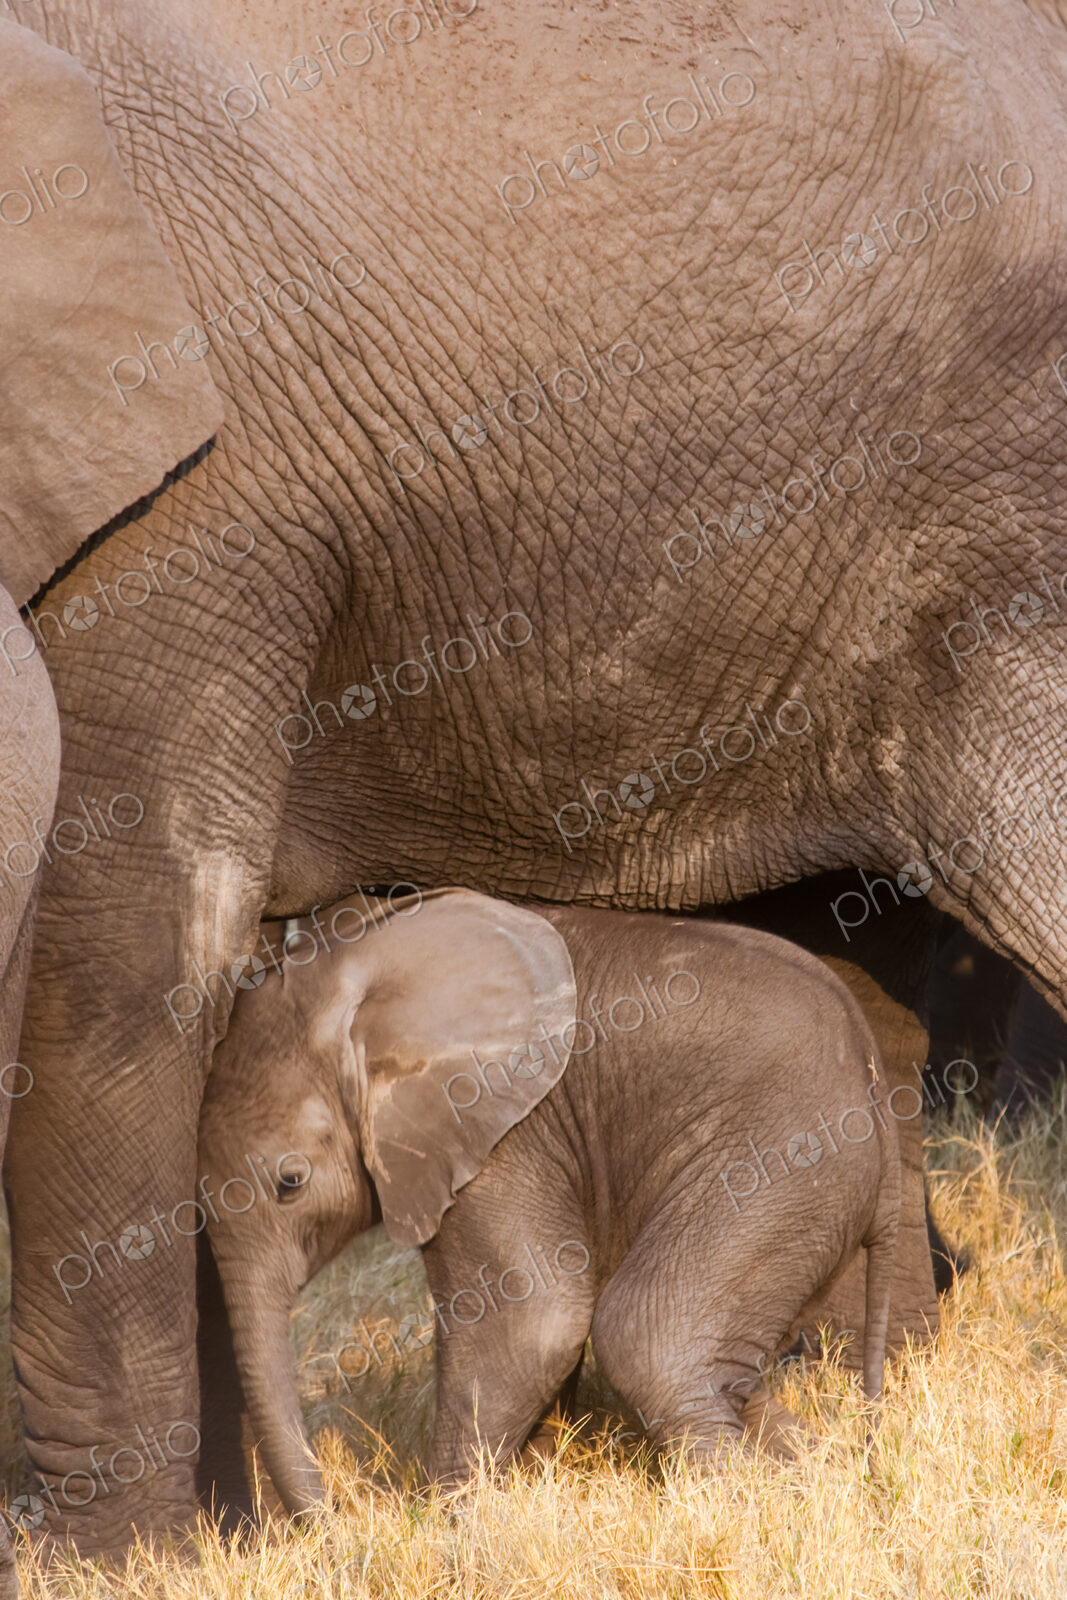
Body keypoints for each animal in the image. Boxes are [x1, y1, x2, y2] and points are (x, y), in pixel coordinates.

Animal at [198, 888, 900, 1508]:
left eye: (289, 1182)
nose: (336, 1519)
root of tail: (872, 1071)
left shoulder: (501, 1127)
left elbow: (534, 1323)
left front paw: (446, 1523)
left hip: (784, 1154)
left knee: (650, 1337)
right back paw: (813, 1479)